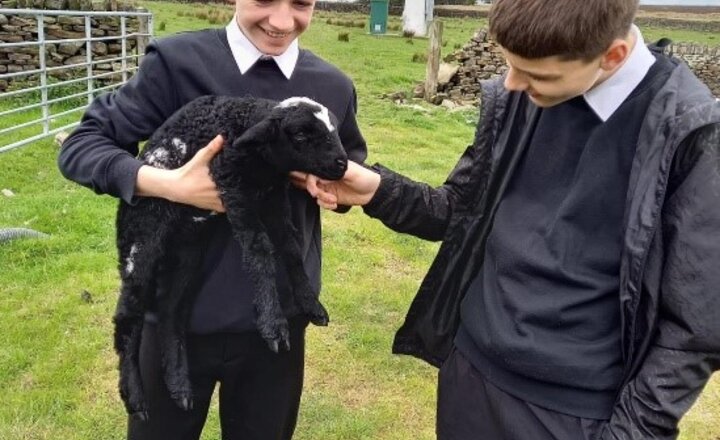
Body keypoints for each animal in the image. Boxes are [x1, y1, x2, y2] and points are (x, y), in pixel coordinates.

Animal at [114, 95, 348, 420]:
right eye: (301, 135)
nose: (343, 164)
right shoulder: (231, 184)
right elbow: (259, 247)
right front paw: (273, 324)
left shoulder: (274, 195)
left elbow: (290, 246)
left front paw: (310, 303)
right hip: (141, 243)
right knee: (128, 318)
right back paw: (135, 397)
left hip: (187, 251)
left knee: (170, 311)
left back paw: (179, 386)